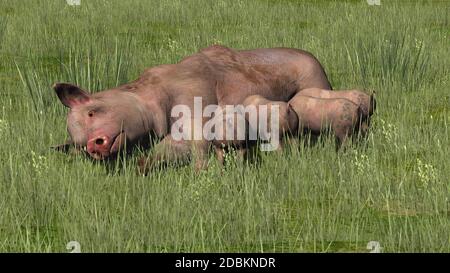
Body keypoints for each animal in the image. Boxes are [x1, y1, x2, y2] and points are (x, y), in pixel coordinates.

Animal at [52, 44, 332, 172]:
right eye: (79, 145)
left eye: (92, 111)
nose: (92, 145)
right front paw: (141, 167)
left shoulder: (197, 103)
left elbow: (201, 144)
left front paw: (202, 173)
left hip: (316, 80)